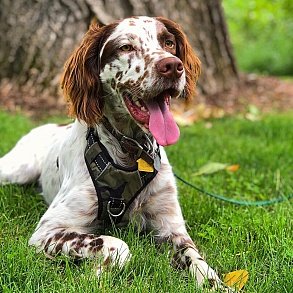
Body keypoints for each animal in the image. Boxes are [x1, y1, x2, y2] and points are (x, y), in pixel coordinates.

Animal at [0, 17, 228, 290]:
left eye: (169, 43)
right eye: (126, 47)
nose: (172, 66)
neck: (132, 155)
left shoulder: (171, 228)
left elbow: (196, 258)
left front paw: (217, 284)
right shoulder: (48, 230)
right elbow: (118, 245)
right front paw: (96, 274)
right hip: (16, 171)